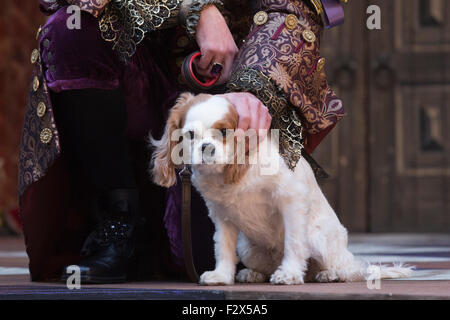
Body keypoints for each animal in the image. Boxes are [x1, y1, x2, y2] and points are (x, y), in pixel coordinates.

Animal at [149, 92, 414, 284]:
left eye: (224, 132)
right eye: (190, 134)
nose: (207, 148)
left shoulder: (291, 199)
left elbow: (294, 243)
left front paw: (289, 274)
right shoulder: (221, 215)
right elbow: (222, 247)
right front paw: (221, 276)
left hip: (319, 238)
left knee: (351, 269)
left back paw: (332, 274)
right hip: (247, 247)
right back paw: (254, 274)